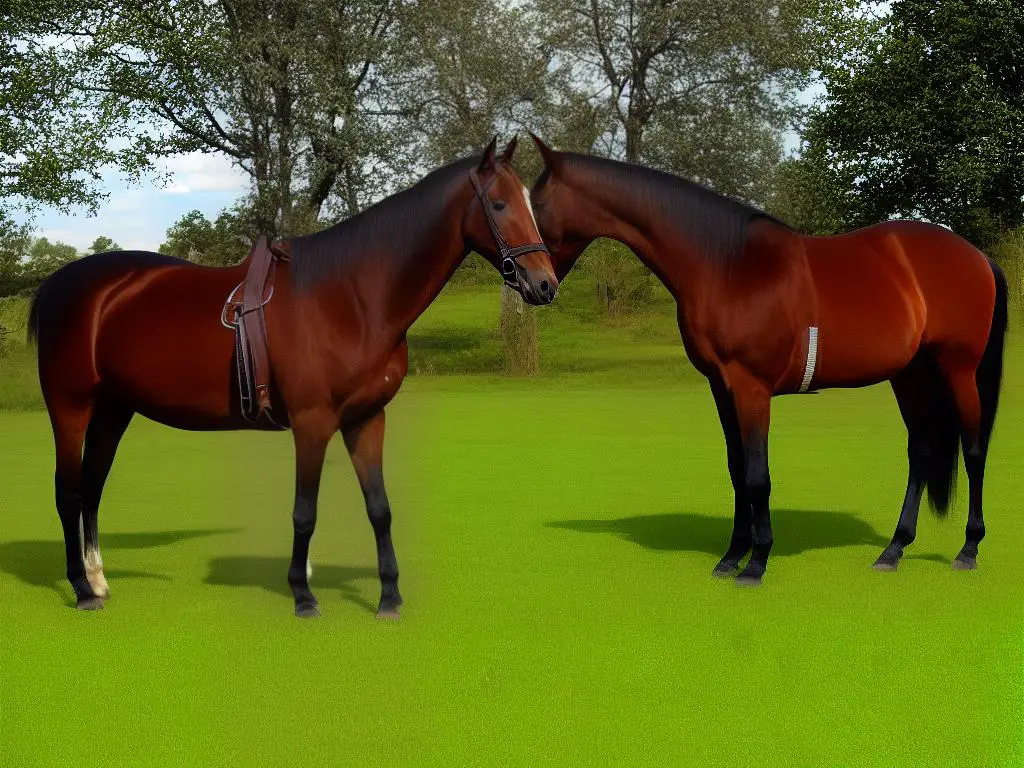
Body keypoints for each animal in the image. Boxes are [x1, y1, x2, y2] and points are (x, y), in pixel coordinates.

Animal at [28, 137, 557, 618]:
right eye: (498, 203)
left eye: (530, 202)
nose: (545, 283)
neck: (350, 298)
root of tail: (59, 284)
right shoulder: (312, 420)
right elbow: (305, 512)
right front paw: (303, 595)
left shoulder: (367, 418)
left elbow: (379, 508)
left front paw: (388, 597)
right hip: (69, 407)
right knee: (68, 492)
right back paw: (81, 588)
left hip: (114, 410)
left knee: (92, 488)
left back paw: (99, 580)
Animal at [528, 135, 1007, 585]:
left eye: (536, 203)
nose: (534, 284)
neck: (726, 263)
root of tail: (978, 257)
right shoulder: (722, 388)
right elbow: (737, 469)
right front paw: (730, 557)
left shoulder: (752, 388)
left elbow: (758, 475)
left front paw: (756, 562)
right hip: (910, 375)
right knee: (921, 450)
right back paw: (893, 550)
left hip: (959, 369)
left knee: (974, 449)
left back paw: (968, 549)